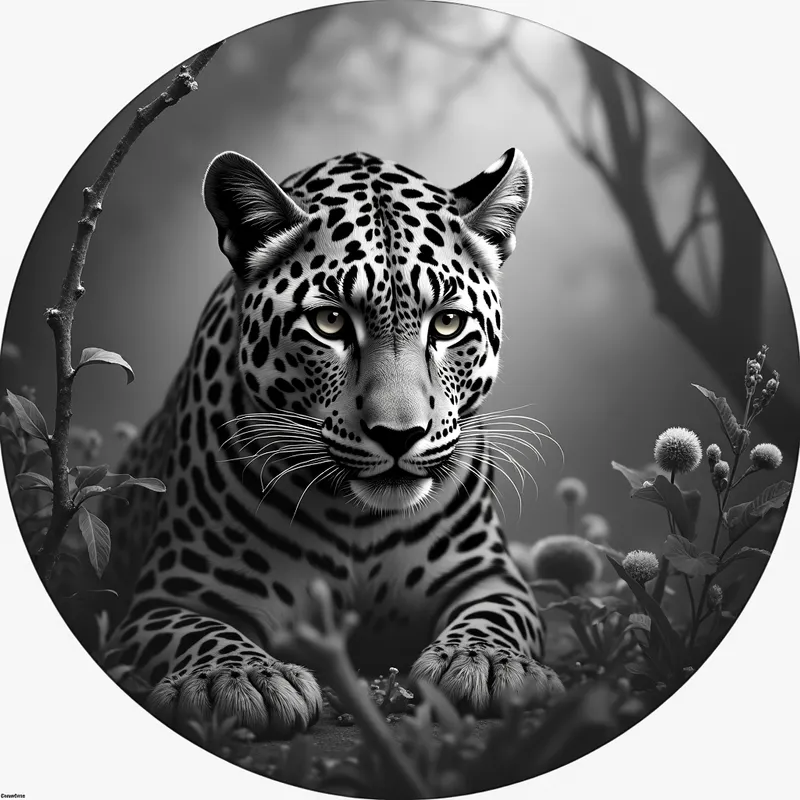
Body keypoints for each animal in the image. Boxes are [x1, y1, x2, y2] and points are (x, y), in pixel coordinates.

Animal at [103, 147, 564, 740]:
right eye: (329, 322)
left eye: (447, 324)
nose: (400, 435)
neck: (356, 519)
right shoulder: (169, 596)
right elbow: (201, 634)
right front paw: (238, 678)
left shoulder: (490, 576)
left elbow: (496, 619)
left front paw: (487, 663)